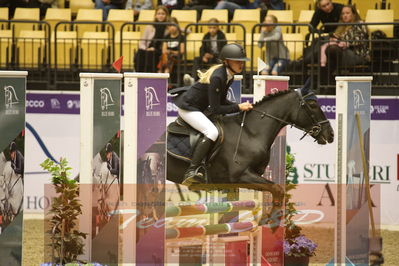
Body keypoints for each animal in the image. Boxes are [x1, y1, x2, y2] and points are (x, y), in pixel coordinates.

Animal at [167, 89, 336, 224]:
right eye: (312, 105)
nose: (331, 134)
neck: (250, 133)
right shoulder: (241, 175)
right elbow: (277, 188)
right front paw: (269, 219)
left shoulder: (249, 177)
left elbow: (272, 190)